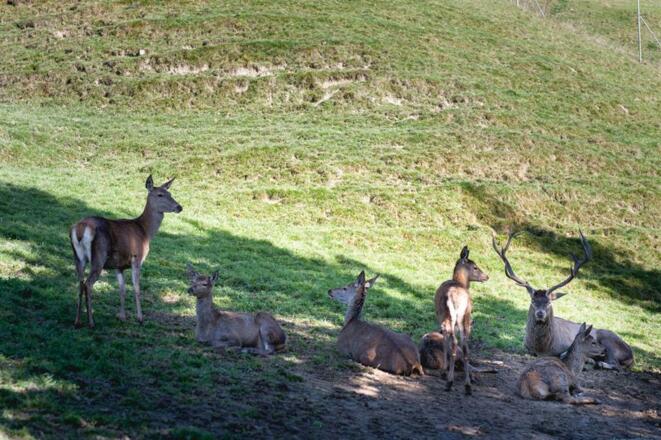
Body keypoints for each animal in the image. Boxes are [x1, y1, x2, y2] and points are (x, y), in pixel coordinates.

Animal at [70, 175, 182, 328]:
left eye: (170, 193)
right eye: (160, 194)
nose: (179, 207)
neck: (145, 232)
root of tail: (80, 229)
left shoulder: (119, 265)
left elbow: (122, 289)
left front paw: (122, 316)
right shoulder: (137, 258)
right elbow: (136, 288)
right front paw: (140, 318)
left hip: (78, 257)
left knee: (80, 283)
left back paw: (77, 321)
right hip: (99, 256)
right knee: (88, 284)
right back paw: (91, 322)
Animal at [435, 246, 489, 394]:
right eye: (475, 267)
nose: (487, 276)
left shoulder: (440, 318)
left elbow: (445, 341)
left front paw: (444, 371)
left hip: (450, 317)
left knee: (454, 342)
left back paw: (449, 382)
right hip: (466, 317)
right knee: (465, 345)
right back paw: (467, 386)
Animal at [493, 230, 634, 370]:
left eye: (549, 302)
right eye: (532, 300)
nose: (540, 314)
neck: (542, 348)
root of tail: (631, 354)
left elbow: (566, 353)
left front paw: (587, 359)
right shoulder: (525, 347)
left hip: (609, 342)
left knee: (616, 364)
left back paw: (598, 362)